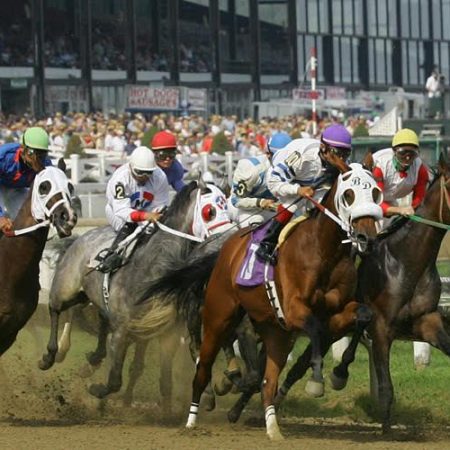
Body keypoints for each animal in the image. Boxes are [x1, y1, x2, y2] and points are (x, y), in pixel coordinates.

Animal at [141, 159, 384, 440]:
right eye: (349, 194)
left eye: (376, 192)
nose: (367, 238)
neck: (324, 251)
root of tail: (225, 248)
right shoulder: (293, 310)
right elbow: (311, 328)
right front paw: (316, 381)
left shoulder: (332, 313)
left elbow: (361, 316)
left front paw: (338, 371)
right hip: (218, 318)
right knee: (203, 369)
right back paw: (192, 421)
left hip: (275, 333)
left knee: (268, 382)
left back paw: (272, 428)